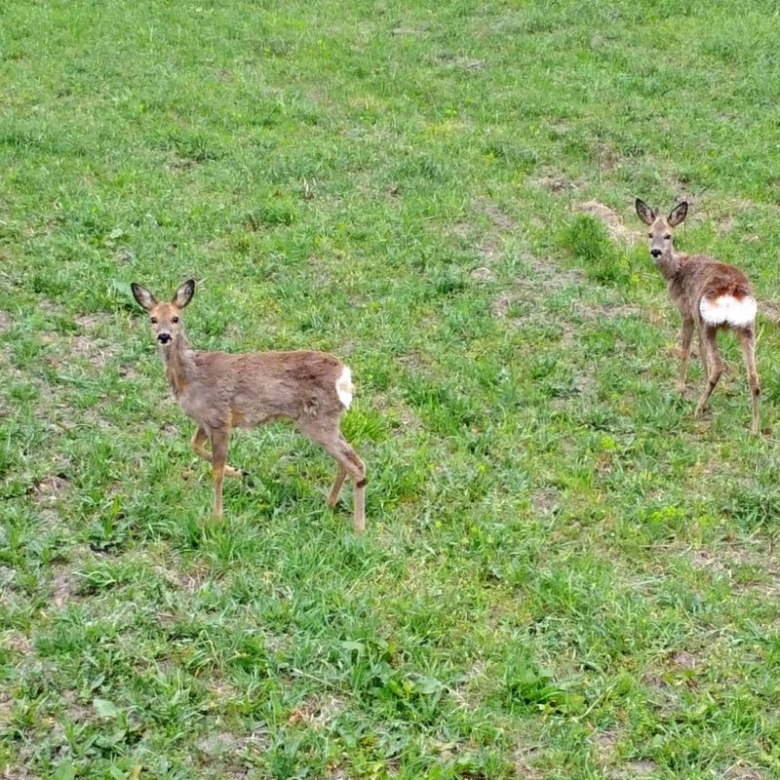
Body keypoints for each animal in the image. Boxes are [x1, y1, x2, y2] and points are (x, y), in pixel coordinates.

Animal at [131, 279, 366, 532]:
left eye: (176, 318)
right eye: (152, 319)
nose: (164, 336)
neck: (191, 375)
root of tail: (344, 376)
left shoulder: (220, 418)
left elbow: (215, 471)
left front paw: (217, 519)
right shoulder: (205, 421)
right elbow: (194, 446)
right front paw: (240, 472)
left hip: (318, 419)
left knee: (356, 464)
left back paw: (358, 527)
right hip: (325, 420)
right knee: (345, 460)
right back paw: (329, 504)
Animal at [635, 199, 760, 434]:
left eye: (668, 235)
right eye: (649, 233)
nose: (655, 251)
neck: (677, 271)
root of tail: (733, 291)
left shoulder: (687, 313)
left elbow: (686, 350)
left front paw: (679, 389)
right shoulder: (696, 317)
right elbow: (701, 353)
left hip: (709, 322)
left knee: (719, 366)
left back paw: (698, 409)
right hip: (746, 327)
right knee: (753, 376)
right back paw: (754, 430)